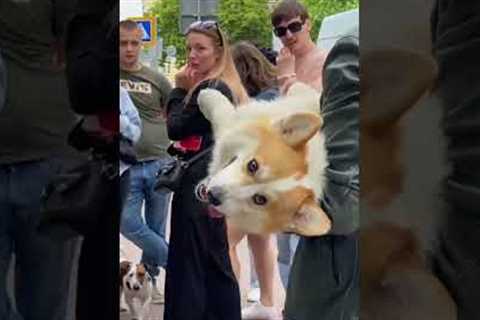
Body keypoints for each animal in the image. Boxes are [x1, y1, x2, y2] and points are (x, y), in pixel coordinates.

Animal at [197, 82, 332, 236]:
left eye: (259, 199)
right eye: (253, 165)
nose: (212, 195)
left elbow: (225, 117)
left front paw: (206, 96)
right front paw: (207, 95)